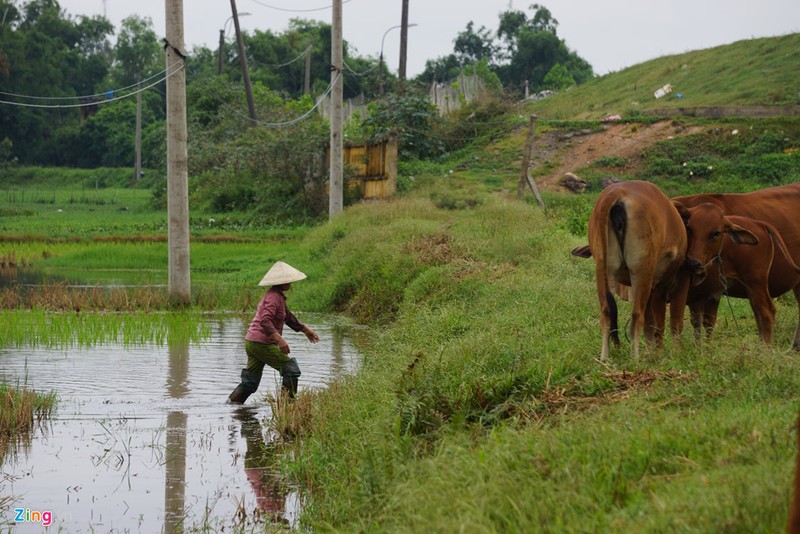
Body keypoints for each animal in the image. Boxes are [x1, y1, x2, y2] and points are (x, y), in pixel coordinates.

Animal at [580, 182, 688, 362]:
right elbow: (656, 322)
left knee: (606, 312)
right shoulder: (660, 283)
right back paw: (635, 359)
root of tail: (617, 191)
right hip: (641, 271)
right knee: (637, 315)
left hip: (603, 269)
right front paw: (656, 352)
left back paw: (604, 359)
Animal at [676, 184, 800, 352]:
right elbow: (702, 323)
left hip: (756, 282)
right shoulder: (706, 294)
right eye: (689, 229)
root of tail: (761, 224)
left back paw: (766, 350)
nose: (694, 263)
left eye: (716, 233)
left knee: (767, 312)